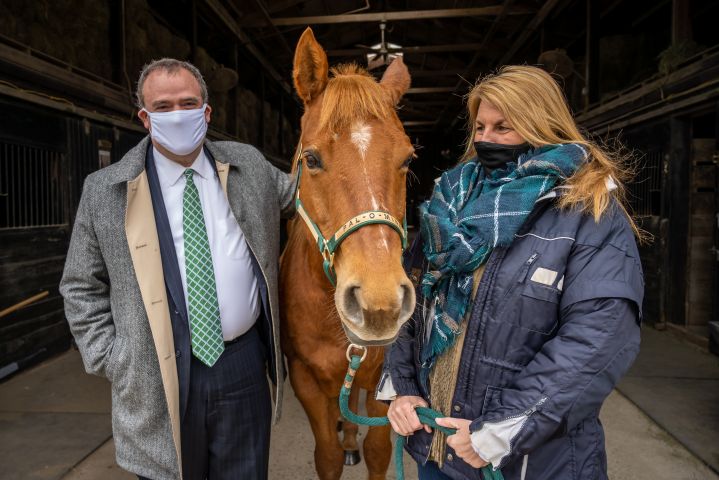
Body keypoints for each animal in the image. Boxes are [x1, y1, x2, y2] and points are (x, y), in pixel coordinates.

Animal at [282, 28, 416, 478]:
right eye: (311, 158)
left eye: (407, 159)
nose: (379, 303)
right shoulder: (305, 380)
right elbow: (327, 455)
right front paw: (339, 444)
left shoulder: (381, 378)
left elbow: (379, 449)